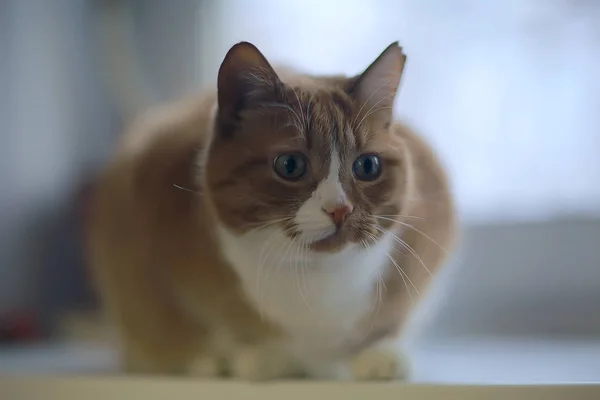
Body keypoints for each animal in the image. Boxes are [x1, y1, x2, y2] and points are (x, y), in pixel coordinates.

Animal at [86, 41, 458, 382]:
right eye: (290, 165)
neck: (315, 283)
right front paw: (248, 357)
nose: (340, 210)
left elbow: (393, 322)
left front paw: (377, 354)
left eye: (368, 166)